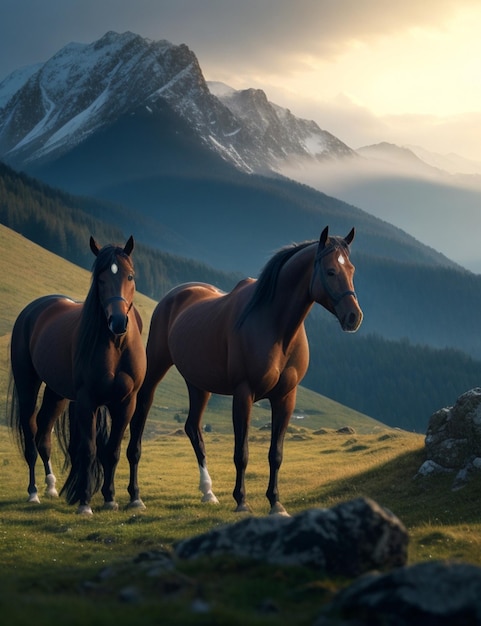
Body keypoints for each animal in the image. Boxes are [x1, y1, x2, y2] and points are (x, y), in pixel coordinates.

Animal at [7, 234, 145, 512]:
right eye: (99, 279)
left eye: (130, 276)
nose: (118, 322)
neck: (116, 346)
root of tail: (32, 310)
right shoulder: (86, 402)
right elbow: (88, 450)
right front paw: (85, 503)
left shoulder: (126, 402)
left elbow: (112, 451)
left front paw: (112, 498)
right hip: (28, 387)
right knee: (30, 436)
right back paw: (34, 492)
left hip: (56, 394)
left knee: (43, 435)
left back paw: (51, 487)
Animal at [125, 227, 362, 516]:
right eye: (330, 271)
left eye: (351, 269)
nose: (354, 317)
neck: (275, 327)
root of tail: (174, 295)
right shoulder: (243, 393)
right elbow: (242, 453)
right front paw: (241, 501)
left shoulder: (286, 397)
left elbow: (276, 454)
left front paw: (276, 502)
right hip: (156, 370)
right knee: (140, 420)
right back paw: (135, 496)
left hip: (198, 384)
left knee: (193, 428)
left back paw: (208, 492)